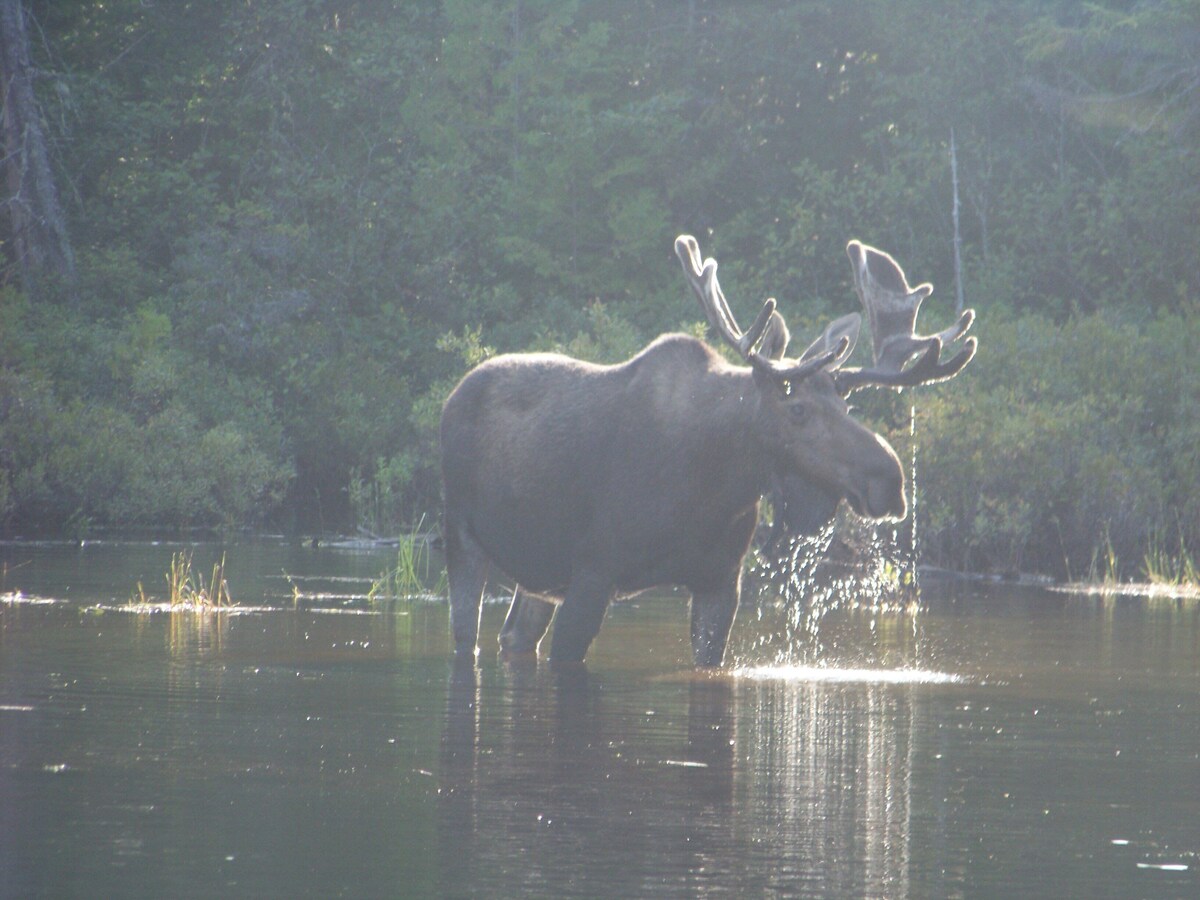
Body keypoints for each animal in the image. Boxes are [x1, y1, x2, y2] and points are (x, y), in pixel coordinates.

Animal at [441, 236, 974, 667]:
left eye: (846, 405)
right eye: (797, 409)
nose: (891, 480)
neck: (715, 484)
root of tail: (453, 394)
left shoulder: (721, 582)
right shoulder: (593, 571)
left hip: (537, 576)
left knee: (513, 637)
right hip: (461, 534)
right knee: (468, 636)